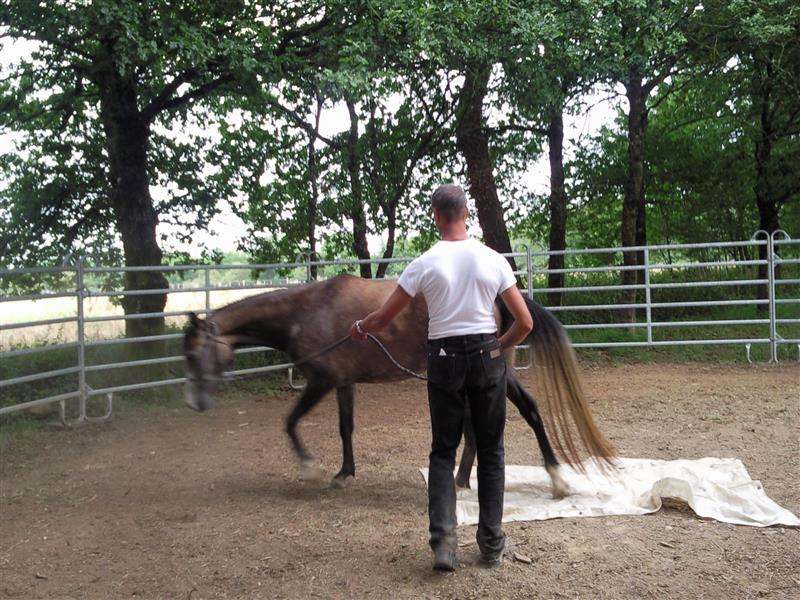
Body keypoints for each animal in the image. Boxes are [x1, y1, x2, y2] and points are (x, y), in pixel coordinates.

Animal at [182, 274, 615, 497]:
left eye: (193, 353)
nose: (194, 403)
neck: (307, 312)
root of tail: (500, 294)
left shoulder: (321, 381)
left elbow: (290, 423)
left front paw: (311, 470)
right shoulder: (343, 383)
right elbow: (345, 428)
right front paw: (344, 473)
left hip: (497, 372)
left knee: (529, 411)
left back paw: (556, 478)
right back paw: (461, 479)